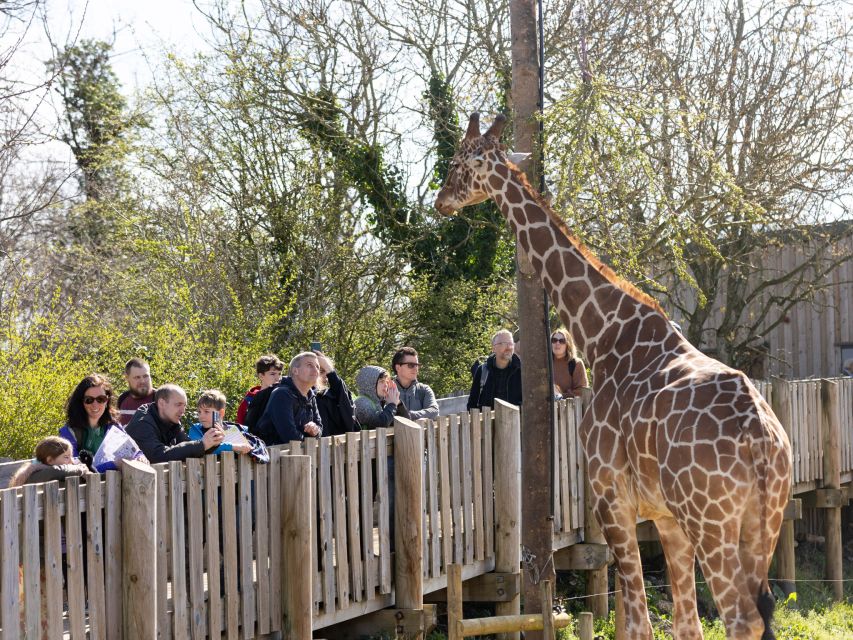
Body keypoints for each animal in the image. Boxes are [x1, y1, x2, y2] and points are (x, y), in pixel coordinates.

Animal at [434, 113, 792, 640]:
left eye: (460, 163)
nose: (440, 200)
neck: (601, 332)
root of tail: (763, 440)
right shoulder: (664, 518)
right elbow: (684, 624)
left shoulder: (611, 497)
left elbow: (640, 623)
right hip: (762, 523)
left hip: (712, 522)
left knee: (741, 619)